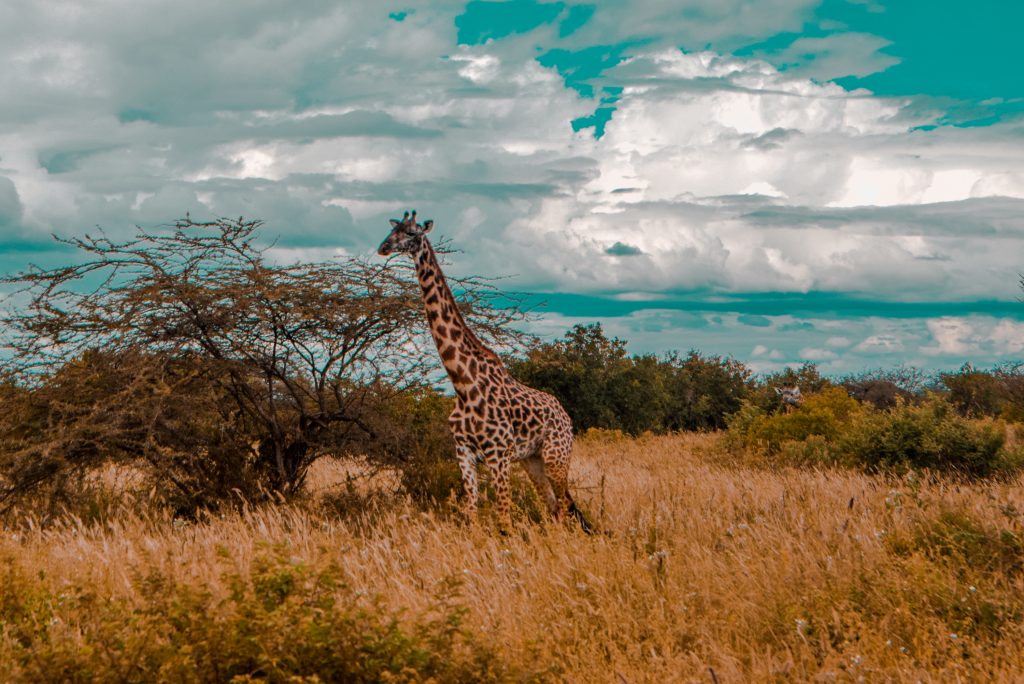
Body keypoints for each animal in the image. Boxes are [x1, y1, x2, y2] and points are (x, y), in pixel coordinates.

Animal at [376, 210, 589, 532]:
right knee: (553, 505)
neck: (463, 382)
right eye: (393, 230)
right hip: (532, 460)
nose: (384, 247)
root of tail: (566, 415)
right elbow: (472, 513)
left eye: (412, 233)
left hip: (556, 456)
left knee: (564, 506)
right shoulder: (464, 453)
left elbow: (504, 518)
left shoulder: (498, 455)